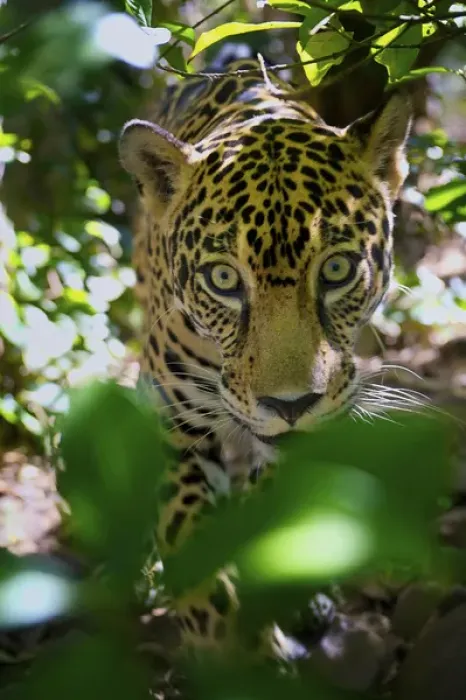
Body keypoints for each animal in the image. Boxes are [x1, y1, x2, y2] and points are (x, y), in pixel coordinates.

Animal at [119, 58, 411, 657]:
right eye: (223, 280)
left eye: (337, 270)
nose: (292, 405)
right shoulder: (170, 425)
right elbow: (191, 547)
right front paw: (238, 655)